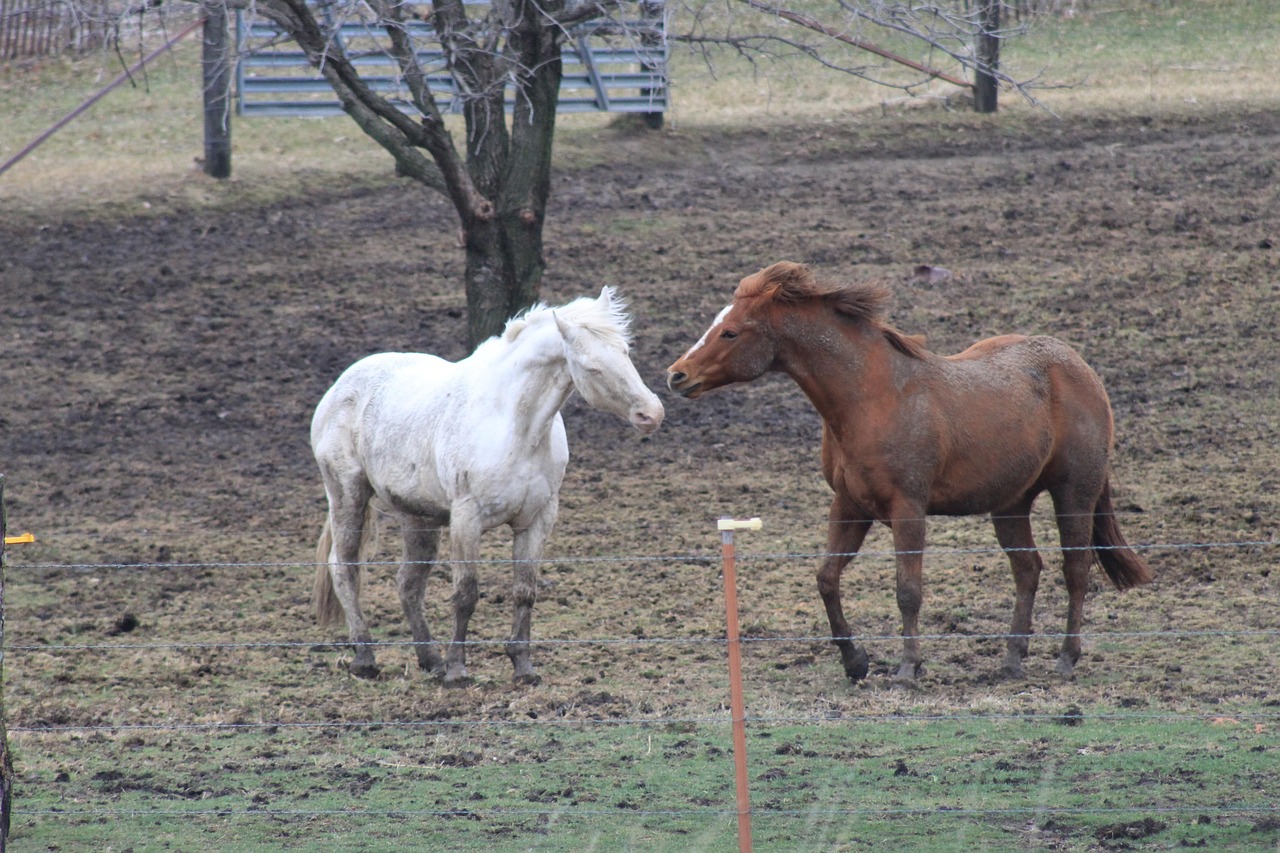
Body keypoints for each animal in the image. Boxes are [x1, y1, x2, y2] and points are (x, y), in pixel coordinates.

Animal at [311, 287, 664, 685]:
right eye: (591, 367)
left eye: (626, 352)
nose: (652, 414)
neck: (515, 427)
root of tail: (341, 385)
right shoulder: (468, 518)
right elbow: (466, 594)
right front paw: (458, 672)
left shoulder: (537, 520)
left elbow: (525, 591)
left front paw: (523, 668)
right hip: (348, 496)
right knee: (344, 569)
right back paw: (366, 659)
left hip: (419, 517)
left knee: (408, 584)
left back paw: (430, 660)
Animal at [667, 261, 1152, 685]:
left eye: (730, 331)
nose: (677, 375)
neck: (872, 397)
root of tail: (1079, 367)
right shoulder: (849, 505)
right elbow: (826, 579)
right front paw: (855, 661)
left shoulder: (908, 509)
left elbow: (908, 591)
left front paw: (907, 668)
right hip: (1011, 503)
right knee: (1028, 569)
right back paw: (1012, 660)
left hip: (1074, 493)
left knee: (1076, 568)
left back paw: (1067, 659)